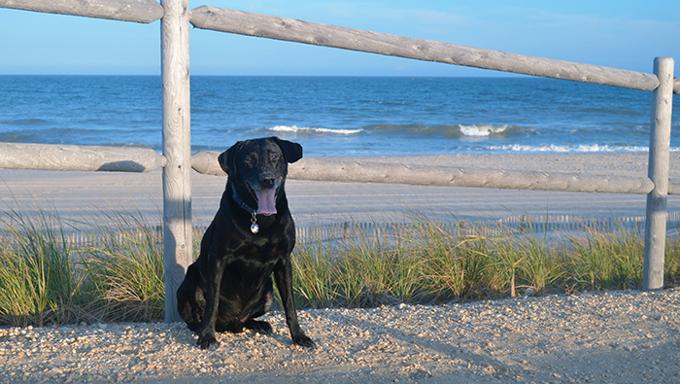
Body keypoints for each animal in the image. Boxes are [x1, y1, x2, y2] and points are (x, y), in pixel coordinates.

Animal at [174, 136, 314, 350]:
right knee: (196, 317)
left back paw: (259, 324)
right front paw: (207, 337)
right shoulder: (218, 258)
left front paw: (299, 336)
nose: (267, 179)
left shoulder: (284, 260)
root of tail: (234, 320)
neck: (260, 219)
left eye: (275, 157)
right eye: (248, 161)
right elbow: (212, 304)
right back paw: (203, 329)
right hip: (189, 283)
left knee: (247, 318)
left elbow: (290, 304)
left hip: (268, 293)